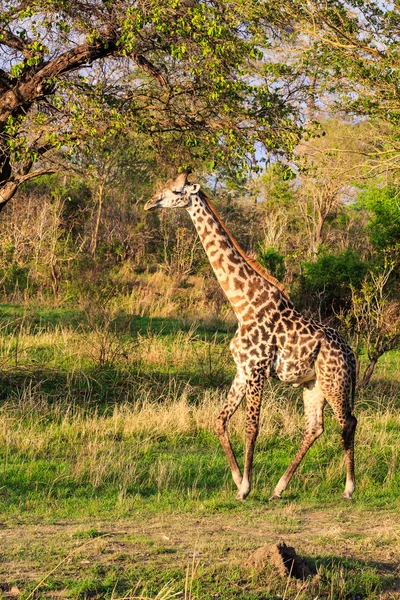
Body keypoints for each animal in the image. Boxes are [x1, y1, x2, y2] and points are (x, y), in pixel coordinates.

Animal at [145, 172, 358, 502]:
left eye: (176, 191)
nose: (149, 203)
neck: (242, 304)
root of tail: (351, 353)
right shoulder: (242, 369)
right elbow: (220, 420)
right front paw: (237, 480)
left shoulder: (257, 370)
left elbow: (251, 427)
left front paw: (245, 487)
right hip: (313, 384)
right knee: (315, 428)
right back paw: (278, 489)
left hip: (335, 381)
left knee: (347, 422)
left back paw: (348, 488)